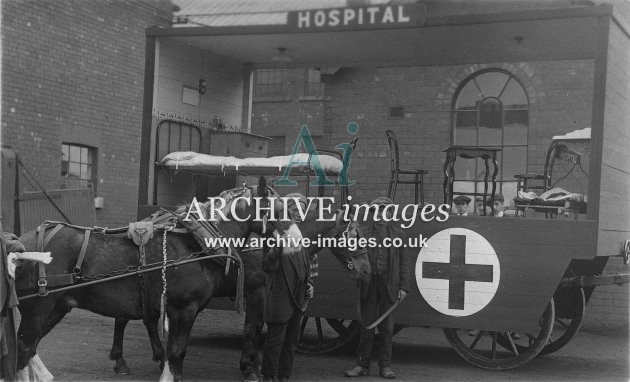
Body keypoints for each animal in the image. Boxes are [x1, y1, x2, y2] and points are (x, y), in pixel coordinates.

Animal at [13, 179, 302, 382]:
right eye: (276, 209)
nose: (299, 241)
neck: (196, 240)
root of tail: (21, 244)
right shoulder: (183, 309)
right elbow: (175, 354)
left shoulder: (185, 311)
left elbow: (178, 354)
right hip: (38, 308)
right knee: (24, 346)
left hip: (57, 306)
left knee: (29, 348)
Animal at [106, 195, 372, 380]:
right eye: (355, 236)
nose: (366, 271)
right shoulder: (257, 293)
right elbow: (251, 329)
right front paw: (249, 367)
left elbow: (258, 327)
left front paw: (254, 362)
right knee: (124, 318)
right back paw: (121, 360)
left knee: (147, 319)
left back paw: (158, 357)